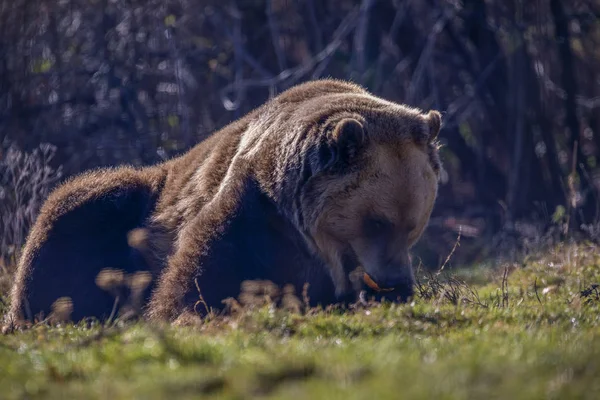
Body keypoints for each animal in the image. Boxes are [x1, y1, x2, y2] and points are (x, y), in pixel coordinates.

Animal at [2, 79, 442, 328]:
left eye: (414, 225)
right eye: (376, 221)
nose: (395, 282)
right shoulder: (253, 210)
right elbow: (201, 276)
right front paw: (184, 313)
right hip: (126, 210)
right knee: (72, 218)